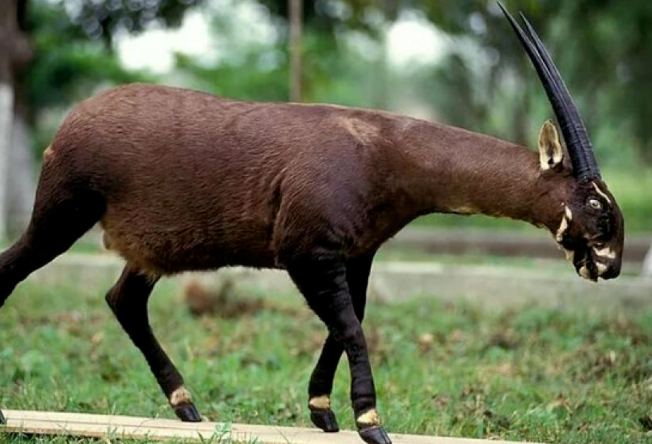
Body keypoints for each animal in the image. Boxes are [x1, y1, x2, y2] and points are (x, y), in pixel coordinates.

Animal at [0, 6, 624, 444]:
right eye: (596, 204)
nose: (612, 266)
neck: (382, 151)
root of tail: (69, 123)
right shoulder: (307, 252)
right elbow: (351, 327)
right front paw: (371, 421)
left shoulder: (356, 254)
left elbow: (349, 321)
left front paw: (323, 412)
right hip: (63, 213)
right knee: (15, 270)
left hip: (149, 249)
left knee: (123, 298)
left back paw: (186, 405)